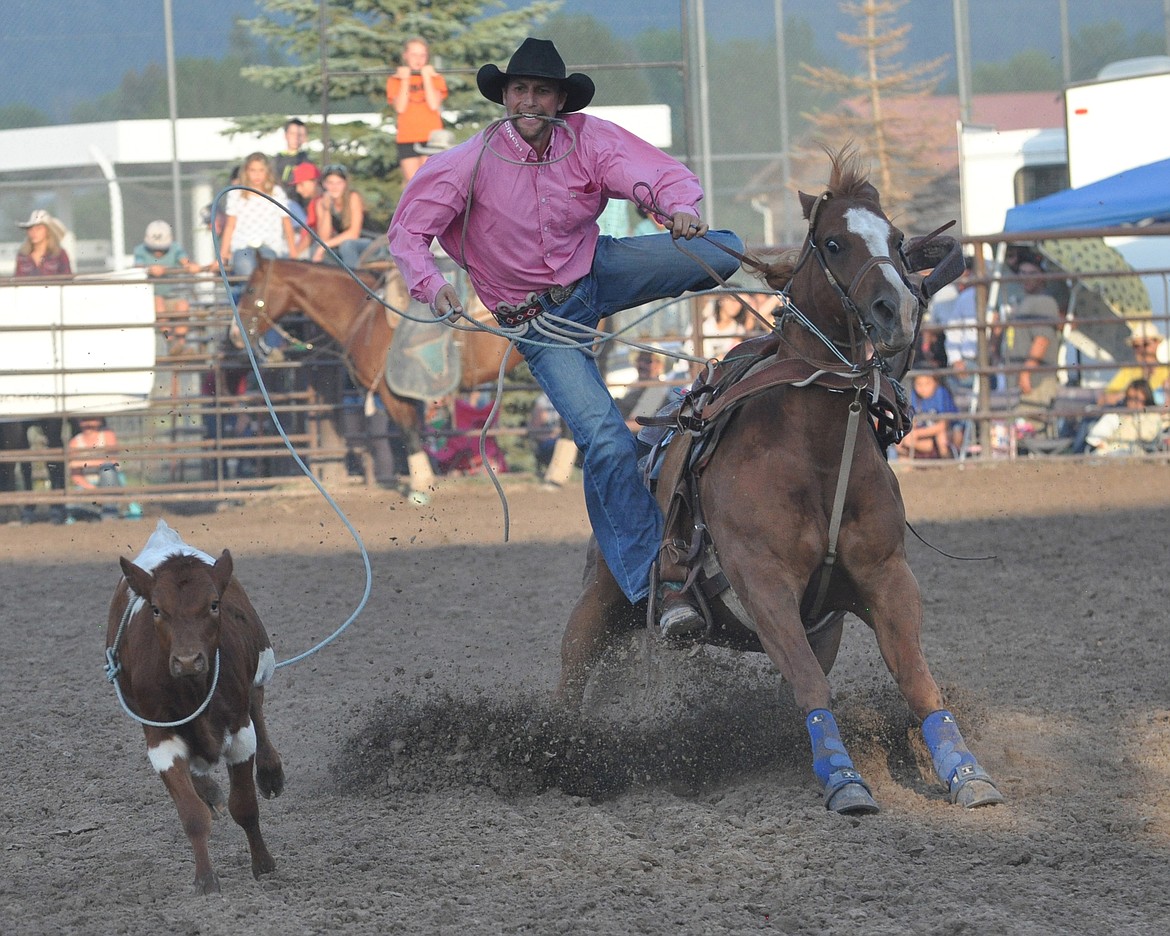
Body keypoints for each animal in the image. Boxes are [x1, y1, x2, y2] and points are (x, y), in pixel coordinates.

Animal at [107, 521, 285, 893]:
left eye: (214, 604)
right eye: (156, 609)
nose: (188, 660)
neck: (192, 690)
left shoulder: (239, 732)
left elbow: (245, 806)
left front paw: (263, 864)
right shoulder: (160, 739)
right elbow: (191, 815)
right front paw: (205, 879)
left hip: (262, 660)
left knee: (257, 703)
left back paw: (270, 772)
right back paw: (210, 791)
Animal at [237, 256, 521, 500]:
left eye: (250, 290)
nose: (234, 334)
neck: (363, 312)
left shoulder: (389, 392)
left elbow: (408, 432)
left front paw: (420, 488)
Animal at [552, 149, 1001, 814]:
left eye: (896, 239)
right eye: (834, 242)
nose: (898, 310)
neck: (814, 450)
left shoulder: (885, 576)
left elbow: (918, 681)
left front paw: (967, 774)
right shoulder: (763, 581)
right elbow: (811, 684)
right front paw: (843, 780)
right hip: (600, 597)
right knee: (571, 670)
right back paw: (556, 754)